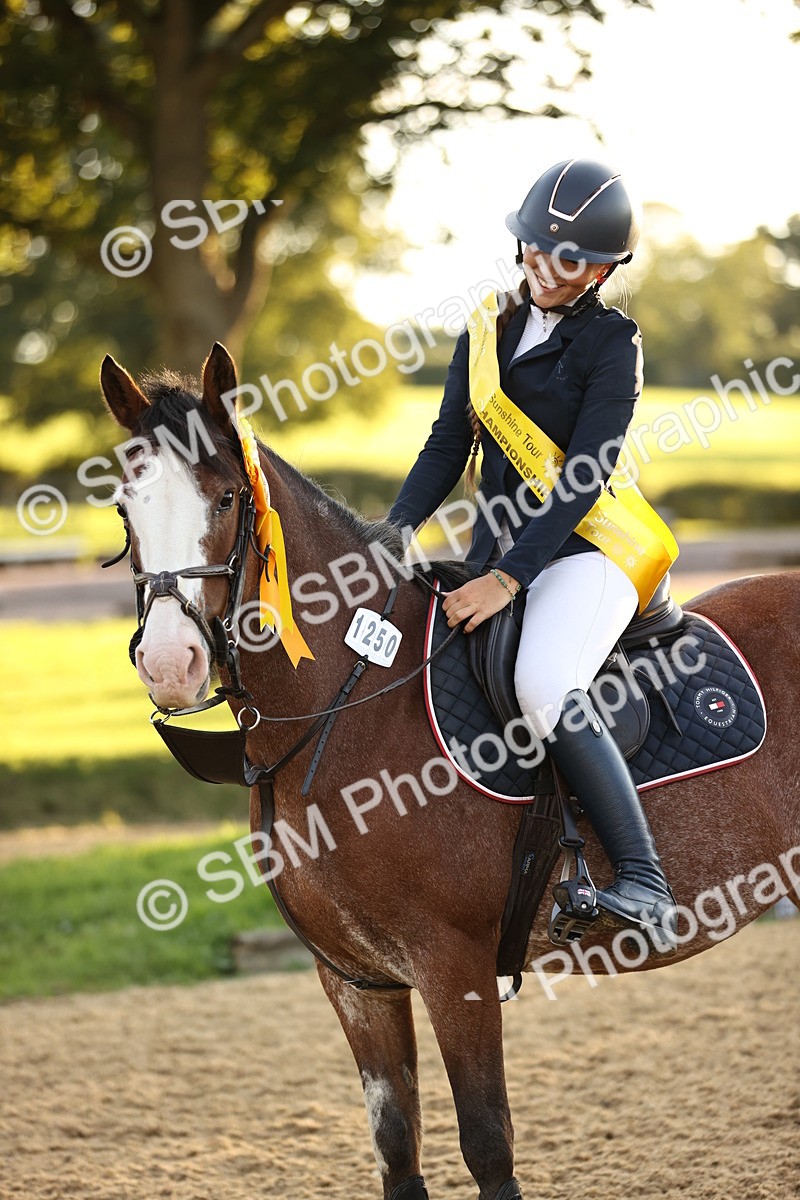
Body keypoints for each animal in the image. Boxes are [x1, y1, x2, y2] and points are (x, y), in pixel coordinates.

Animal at [100, 343, 800, 1200]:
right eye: (125, 508)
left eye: (228, 497)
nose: (171, 664)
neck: (353, 698)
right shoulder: (355, 980)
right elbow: (396, 1145)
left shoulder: (453, 966)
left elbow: (487, 1143)